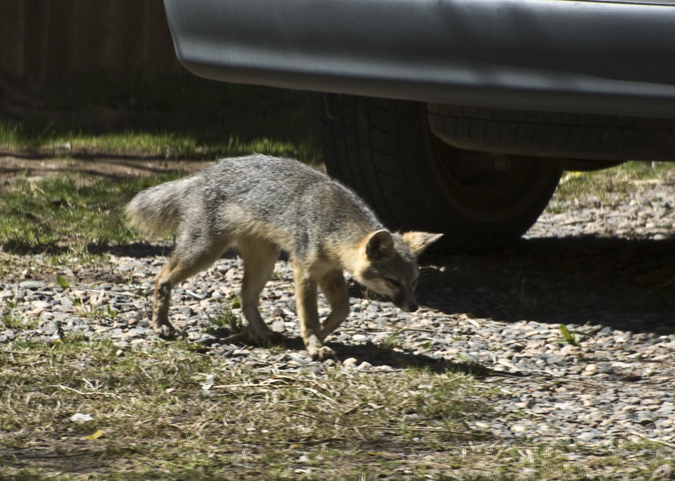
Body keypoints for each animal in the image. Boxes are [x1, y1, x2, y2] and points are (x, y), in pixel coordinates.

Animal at [126, 155, 442, 361]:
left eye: (414, 282)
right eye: (393, 281)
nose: (414, 308)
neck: (332, 221)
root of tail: (203, 174)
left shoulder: (330, 271)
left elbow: (342, 310)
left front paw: (321, 333)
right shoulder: (304, 269)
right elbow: (309, 313)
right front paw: (314, 343)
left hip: (264, 261)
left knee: (246, 299)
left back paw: (264, 334)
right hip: (204, 253)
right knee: (162, 277)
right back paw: (161, 324)